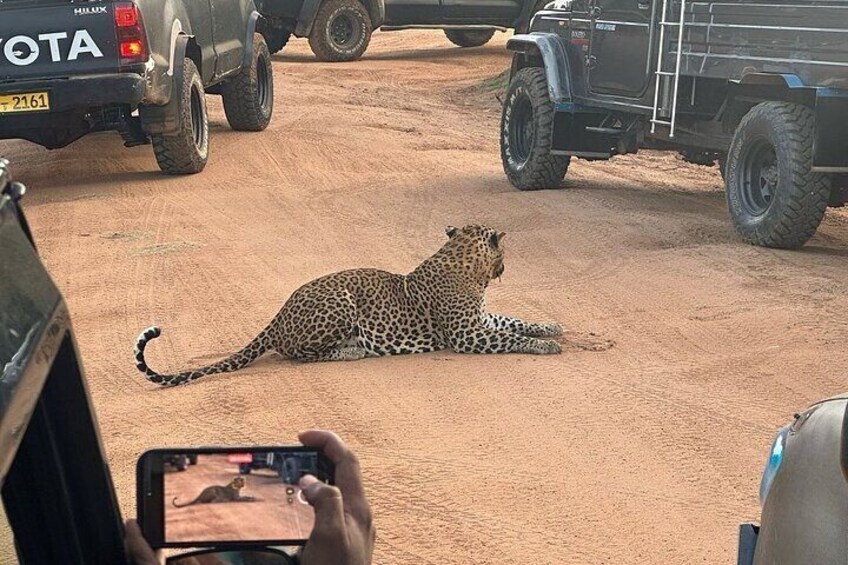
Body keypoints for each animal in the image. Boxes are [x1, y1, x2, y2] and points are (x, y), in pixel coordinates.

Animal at [134, 224, 563, 387]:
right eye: (503, 250)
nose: (506, 264)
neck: (463, 264)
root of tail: (279, 314)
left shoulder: (481, 320)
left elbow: (514, 321)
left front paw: (551, 327)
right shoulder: (467, 335)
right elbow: (511, 338)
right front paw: (547, 346)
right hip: (340, 303)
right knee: (299, 354)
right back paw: (353, 350)